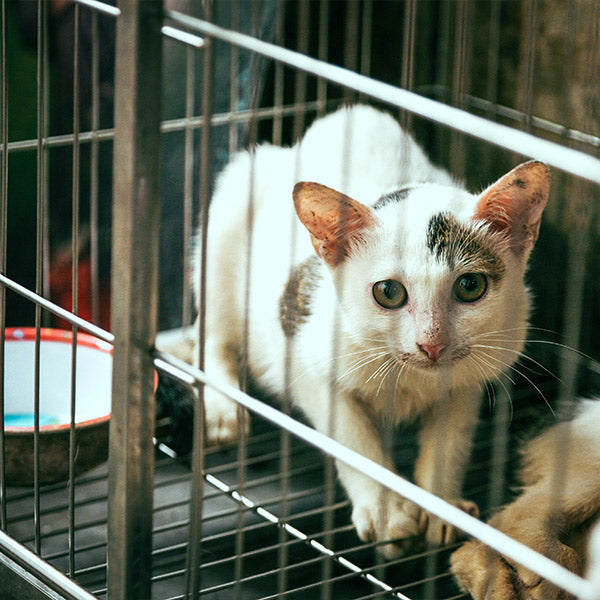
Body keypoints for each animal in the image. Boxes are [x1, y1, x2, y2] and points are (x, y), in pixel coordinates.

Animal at [180, 104, 552, 556]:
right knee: (213, 334)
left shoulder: (472, 373)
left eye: (470, 286)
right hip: (228, 214)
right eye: (388, 292)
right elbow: (353, 439)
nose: (432, 344)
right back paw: (223, 408)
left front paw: (441, 505)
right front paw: (386, 512)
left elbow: (452, 438)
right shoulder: (301, 352)